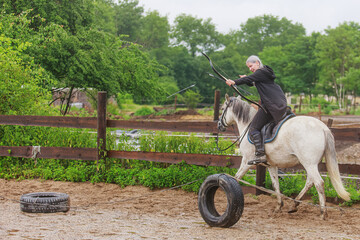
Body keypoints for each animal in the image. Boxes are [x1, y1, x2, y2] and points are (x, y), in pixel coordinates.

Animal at [218, 94, 350, 219]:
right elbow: (275, 184)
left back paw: (323, 213)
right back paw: (294, 205)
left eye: (223, 108)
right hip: (312, 164)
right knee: (310, 182)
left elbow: (235, 178)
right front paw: (278, 206)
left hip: (309, 163)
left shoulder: (246, 161)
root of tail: (323, 128)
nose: (219, 125)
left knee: (319, 183)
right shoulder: (271, 165)